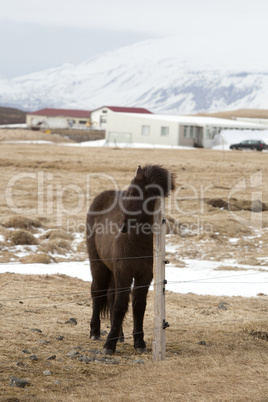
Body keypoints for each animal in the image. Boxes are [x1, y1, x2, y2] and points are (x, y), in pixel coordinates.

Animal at [86, 164, 176, 354]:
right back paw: (95, 332)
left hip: (112, 271)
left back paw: (120, 336)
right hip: (98, 265)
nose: (124, 225)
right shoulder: (124, 272)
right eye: (129, 192)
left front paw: (139, 343)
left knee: (110, 297)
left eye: (140, 194)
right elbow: (120, 306)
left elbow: (138, 306)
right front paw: (109, 345)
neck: (137, 242)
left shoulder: (144, 275)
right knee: (97, 292)